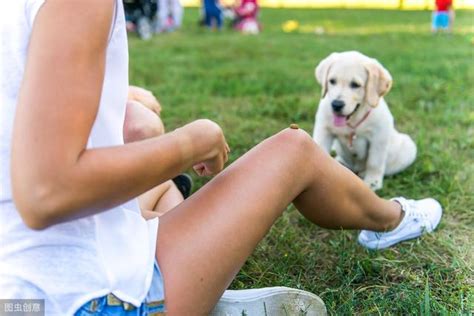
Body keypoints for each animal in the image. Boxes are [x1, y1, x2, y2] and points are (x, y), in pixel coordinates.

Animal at [312, 51, 416, 190]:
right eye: (332, 81)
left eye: (355, 85)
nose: (336, 104)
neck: (352, 121)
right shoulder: (324, 130)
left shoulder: (379, 136)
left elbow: (374, 162)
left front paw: (372, 182)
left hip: (408, 146)